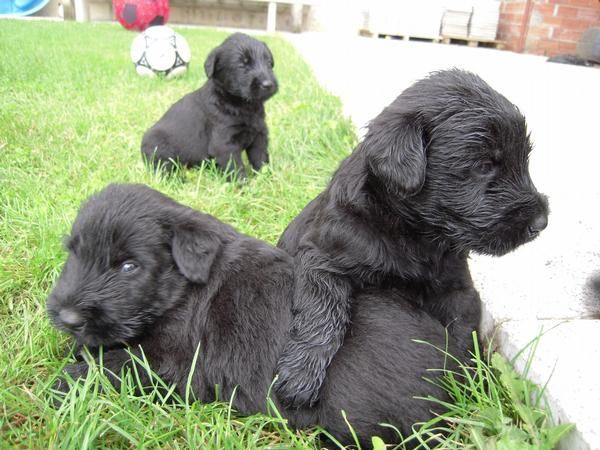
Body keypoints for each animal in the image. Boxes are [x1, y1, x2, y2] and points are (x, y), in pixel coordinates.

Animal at [48, 183, 468, 446]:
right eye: (73, 252)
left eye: (129, 267)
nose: (66, 317)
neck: (182, 288)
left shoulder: (176, 366)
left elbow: (118, 364)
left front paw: (65, 382)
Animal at [141, 33, 278, 179]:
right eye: (242, 64)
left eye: (268, 63)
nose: (268, 84)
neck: (242, 104)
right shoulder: (224, 143)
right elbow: (235, 167)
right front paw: (243, 183)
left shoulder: (259, 135)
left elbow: (260, 158)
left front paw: (266, 177)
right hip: (158, 147)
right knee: (163, 167)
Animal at [274, 69, 552, 408]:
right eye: (484, 165)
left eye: (524, 159)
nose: (541, 222)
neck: (416, 235)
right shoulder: (322, 256)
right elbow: (322, 308)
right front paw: (301, 373)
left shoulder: (457, 289)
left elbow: (462, 335)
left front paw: (470, 387)